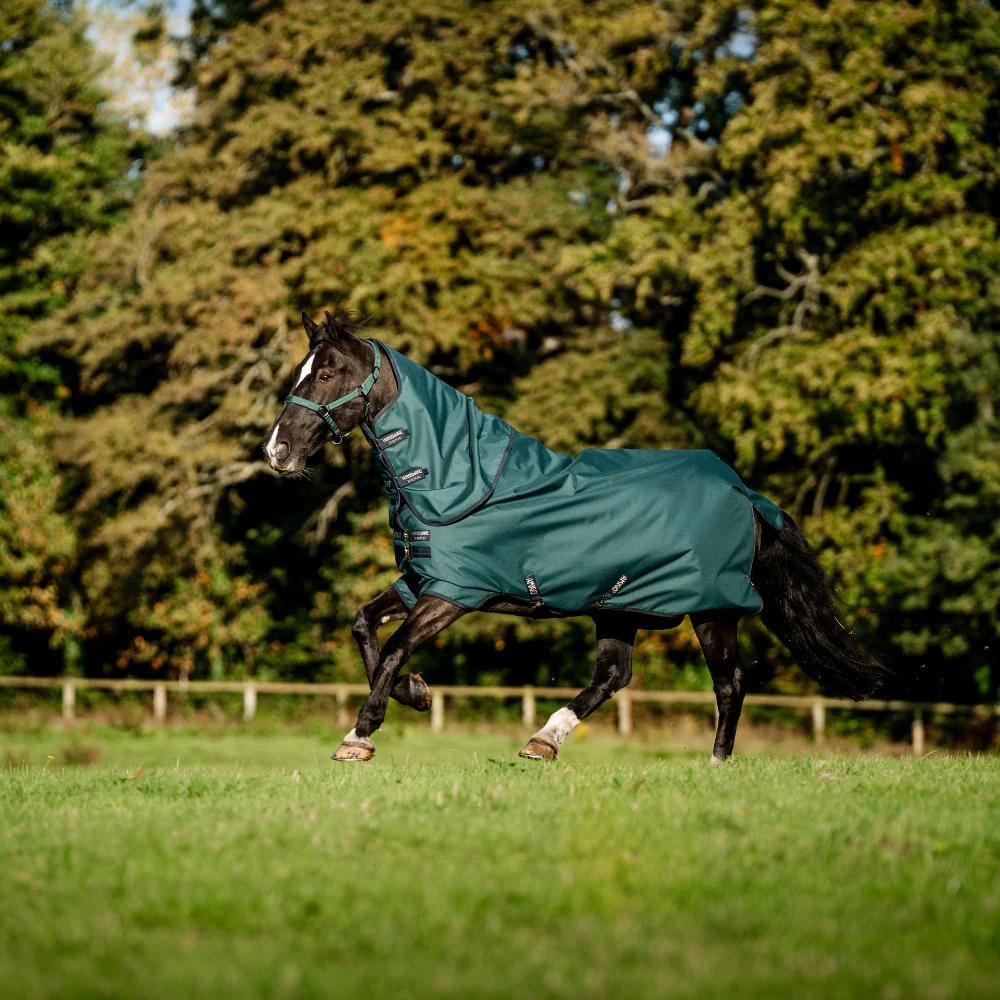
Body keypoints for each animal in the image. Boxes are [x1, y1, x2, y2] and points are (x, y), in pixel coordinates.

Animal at [264, 311, 887, 762]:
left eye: (325, 374)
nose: (277, 451)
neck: (456, 479)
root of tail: (746, 495)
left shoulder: (454, 593)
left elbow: (393, 648)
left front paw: (359, 736)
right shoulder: (421, 580)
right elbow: (364, 626)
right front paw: (416, 695)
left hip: (712, 609)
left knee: (729, 683)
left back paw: (715, 763)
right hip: (621, 605)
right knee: (614, 675)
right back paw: (544, 740)